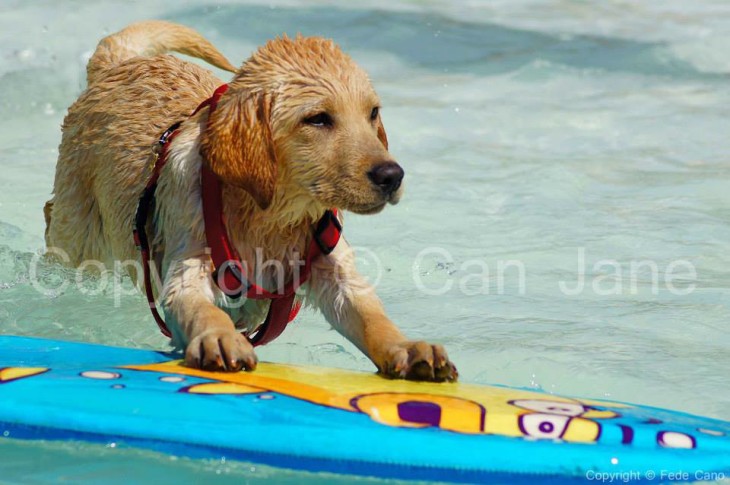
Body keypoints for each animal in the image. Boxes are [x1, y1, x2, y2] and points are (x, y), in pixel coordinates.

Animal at [44, 20, 456, 380]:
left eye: (372, 113)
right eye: (318, 119)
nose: (392, 176)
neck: (269, 214)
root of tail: (119, 66)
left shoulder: (332, 262)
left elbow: (370, 314)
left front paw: (407, 347)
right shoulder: (190, 252)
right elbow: (199, 305)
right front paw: (219, 337)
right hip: (81, 231)